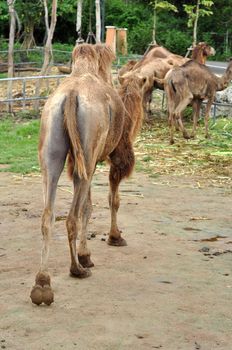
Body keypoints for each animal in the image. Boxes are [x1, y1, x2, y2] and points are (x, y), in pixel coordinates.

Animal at [29, 43, 147, 304]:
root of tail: (71, 96)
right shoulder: (114, 157)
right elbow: (109, 200)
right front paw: (111, 240)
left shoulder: (79, 162)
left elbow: (89, 205)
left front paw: (87, 253)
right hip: (89, 144)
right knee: (72, 215)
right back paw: (77, 269)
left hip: (52, 146)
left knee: (48, 215)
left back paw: (42, 285)